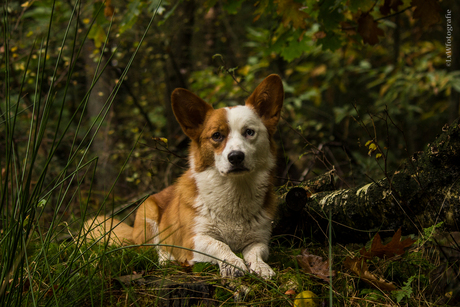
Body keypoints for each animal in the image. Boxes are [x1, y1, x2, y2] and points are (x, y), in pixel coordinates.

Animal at [84, 74, 282, 280]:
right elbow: (220, 244)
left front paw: (261, 266)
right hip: (148, 212)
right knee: (152, 250)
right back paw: (166, 258)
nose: (236, 157)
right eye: (217, 135)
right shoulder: (191, 241)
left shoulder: (259, 239)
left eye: (249, 132)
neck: (235, 192)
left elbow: (255, 252)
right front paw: (233, 263)